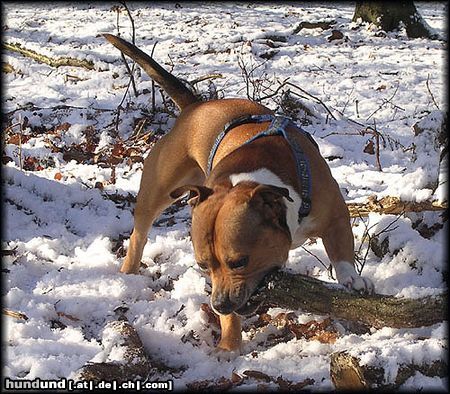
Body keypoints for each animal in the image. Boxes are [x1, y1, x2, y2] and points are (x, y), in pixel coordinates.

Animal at [104, 35, 372, 352]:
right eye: (203, 265)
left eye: (240, 261)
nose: (218, 305)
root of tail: (195, 107)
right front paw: (229, 346)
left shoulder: (335, 216)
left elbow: (342, 252)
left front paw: (352, 280)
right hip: (158, 189)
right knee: (139, 234)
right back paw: (128, 273)